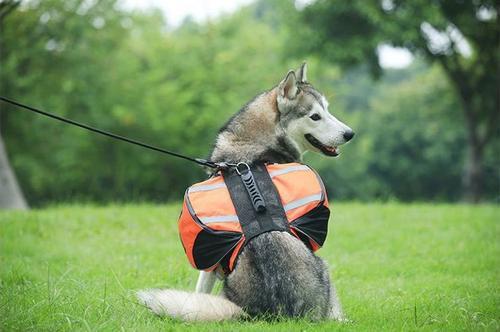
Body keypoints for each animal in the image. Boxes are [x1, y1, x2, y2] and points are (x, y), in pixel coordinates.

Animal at [139, 62, 354, 322]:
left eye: (327, 110)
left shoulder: (211, 265)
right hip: (325, 269)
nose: (349, 134)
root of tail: (270, 312)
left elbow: (200, 289)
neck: (252, 150)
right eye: (315, 116)